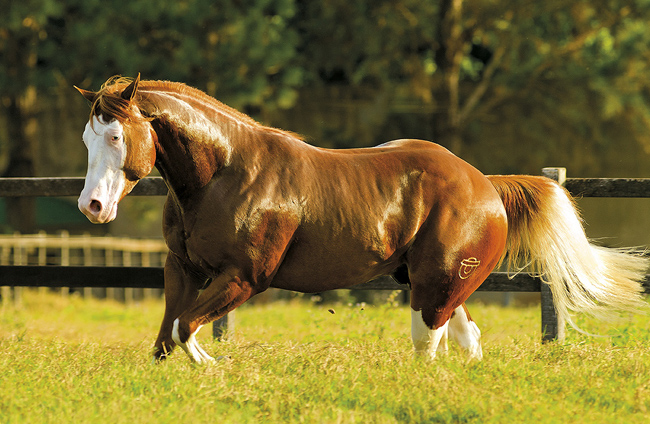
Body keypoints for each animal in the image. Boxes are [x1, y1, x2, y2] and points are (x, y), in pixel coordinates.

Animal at [73, 75, 644, 362]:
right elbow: (164, 339)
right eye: (87, 137)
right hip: (435, 283)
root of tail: (485, 185)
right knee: (465, 339)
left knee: (429, 342)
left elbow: (186, 330)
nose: (92, 207)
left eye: (117, 136)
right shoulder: (182, 269)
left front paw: (215, 370)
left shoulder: (244, 278)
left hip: (433, 286)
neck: (225, 173)